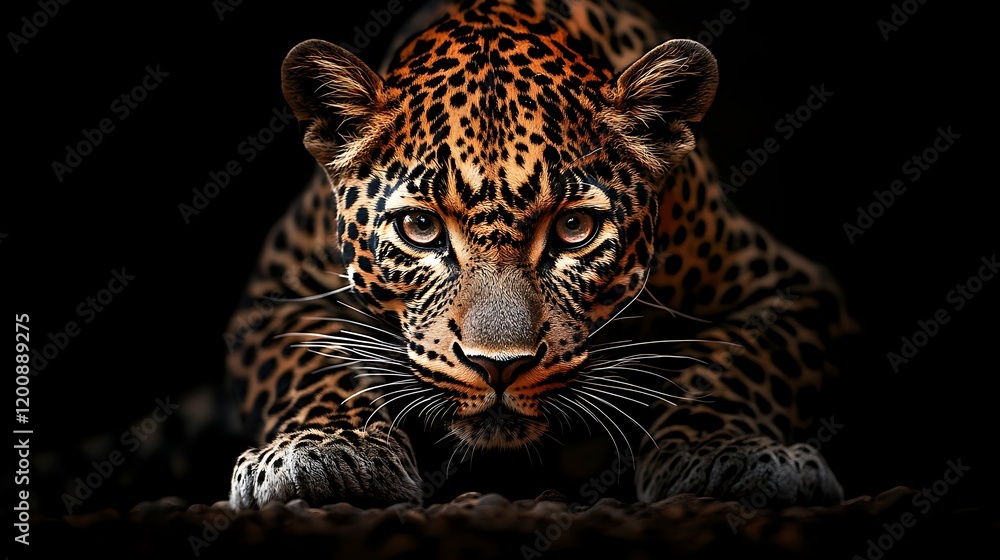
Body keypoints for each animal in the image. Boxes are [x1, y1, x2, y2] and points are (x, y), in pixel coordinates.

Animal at [226, 0, 857, 511]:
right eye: (421, 227)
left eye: (574, 228)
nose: (498, 367)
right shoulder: (275, 294)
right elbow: (312, 366)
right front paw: (324, 454)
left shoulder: (789, 287)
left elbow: (739, 366)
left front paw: (725, 452)